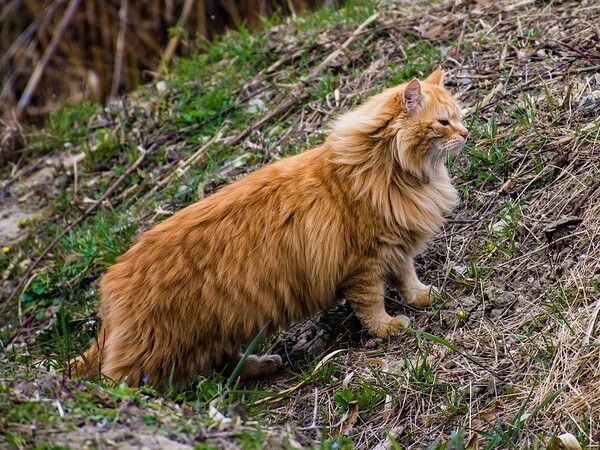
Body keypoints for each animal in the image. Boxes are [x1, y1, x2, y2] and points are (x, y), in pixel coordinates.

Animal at [72, 69, 468, 390]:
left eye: (459, 117)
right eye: (443, 122)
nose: (466, 133)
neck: (382, 169)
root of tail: (113, 277)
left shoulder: (396, 245)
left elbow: (407, 277)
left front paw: (422, 297)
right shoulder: (363, 263)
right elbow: (371, 305)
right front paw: (390, 327)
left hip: (218, 329)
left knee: (225, 365)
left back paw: (264, 365)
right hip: (158, 350)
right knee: (121, 381)